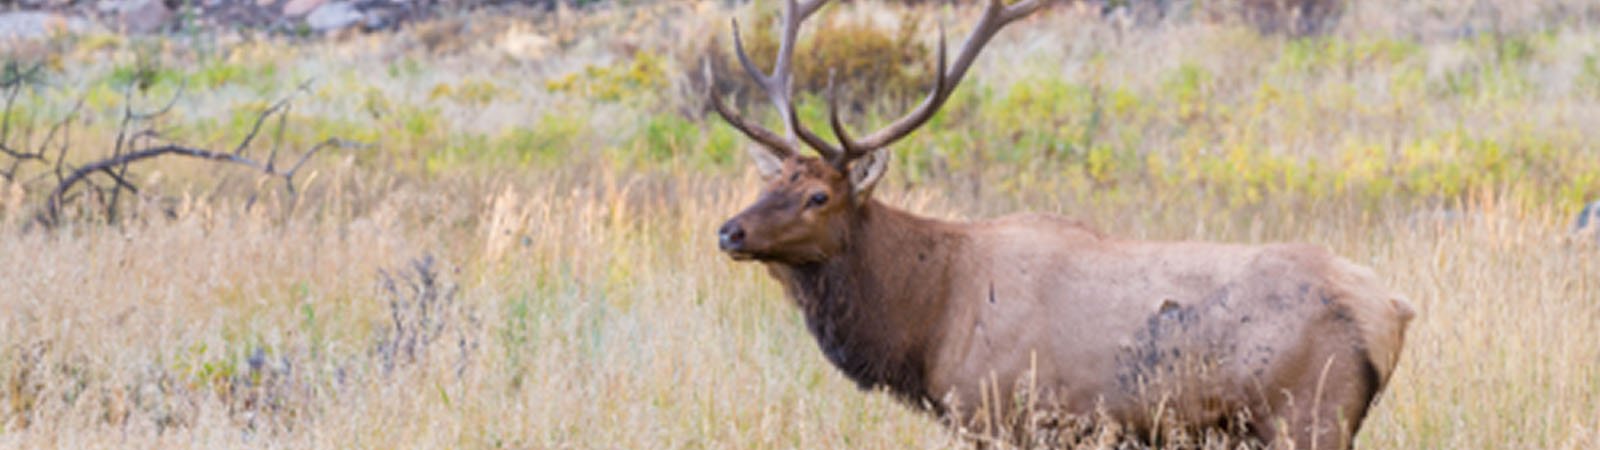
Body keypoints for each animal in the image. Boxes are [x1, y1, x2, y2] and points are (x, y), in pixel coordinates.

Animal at [707, 0, 1420, 441]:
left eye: (818, 197)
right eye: (770, 180)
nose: (730, 230)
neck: (929, 321)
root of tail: (1392, 309)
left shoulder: (1002, 412)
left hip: (1308, 413)